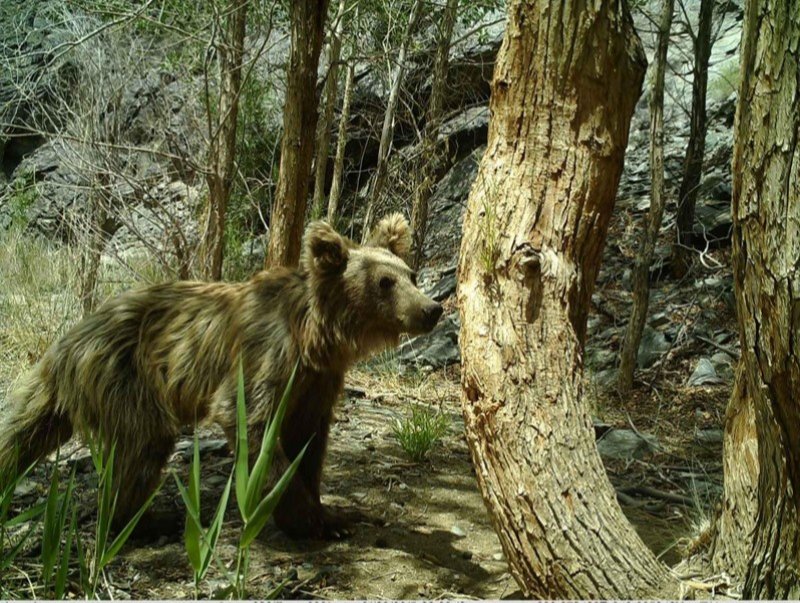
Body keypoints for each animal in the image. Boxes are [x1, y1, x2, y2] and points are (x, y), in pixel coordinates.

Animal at [0, 212, 444, 536]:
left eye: (410, 275)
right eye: (384, 282)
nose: (432, 309)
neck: (317, 336)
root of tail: (62, 346)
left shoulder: (318, 381)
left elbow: (308, 440)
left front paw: (327, 511)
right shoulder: (268, 357)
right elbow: (252, 422)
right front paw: (310, 520)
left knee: (25, 434)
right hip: (124, 374)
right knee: (143, 443)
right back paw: (141, 520)